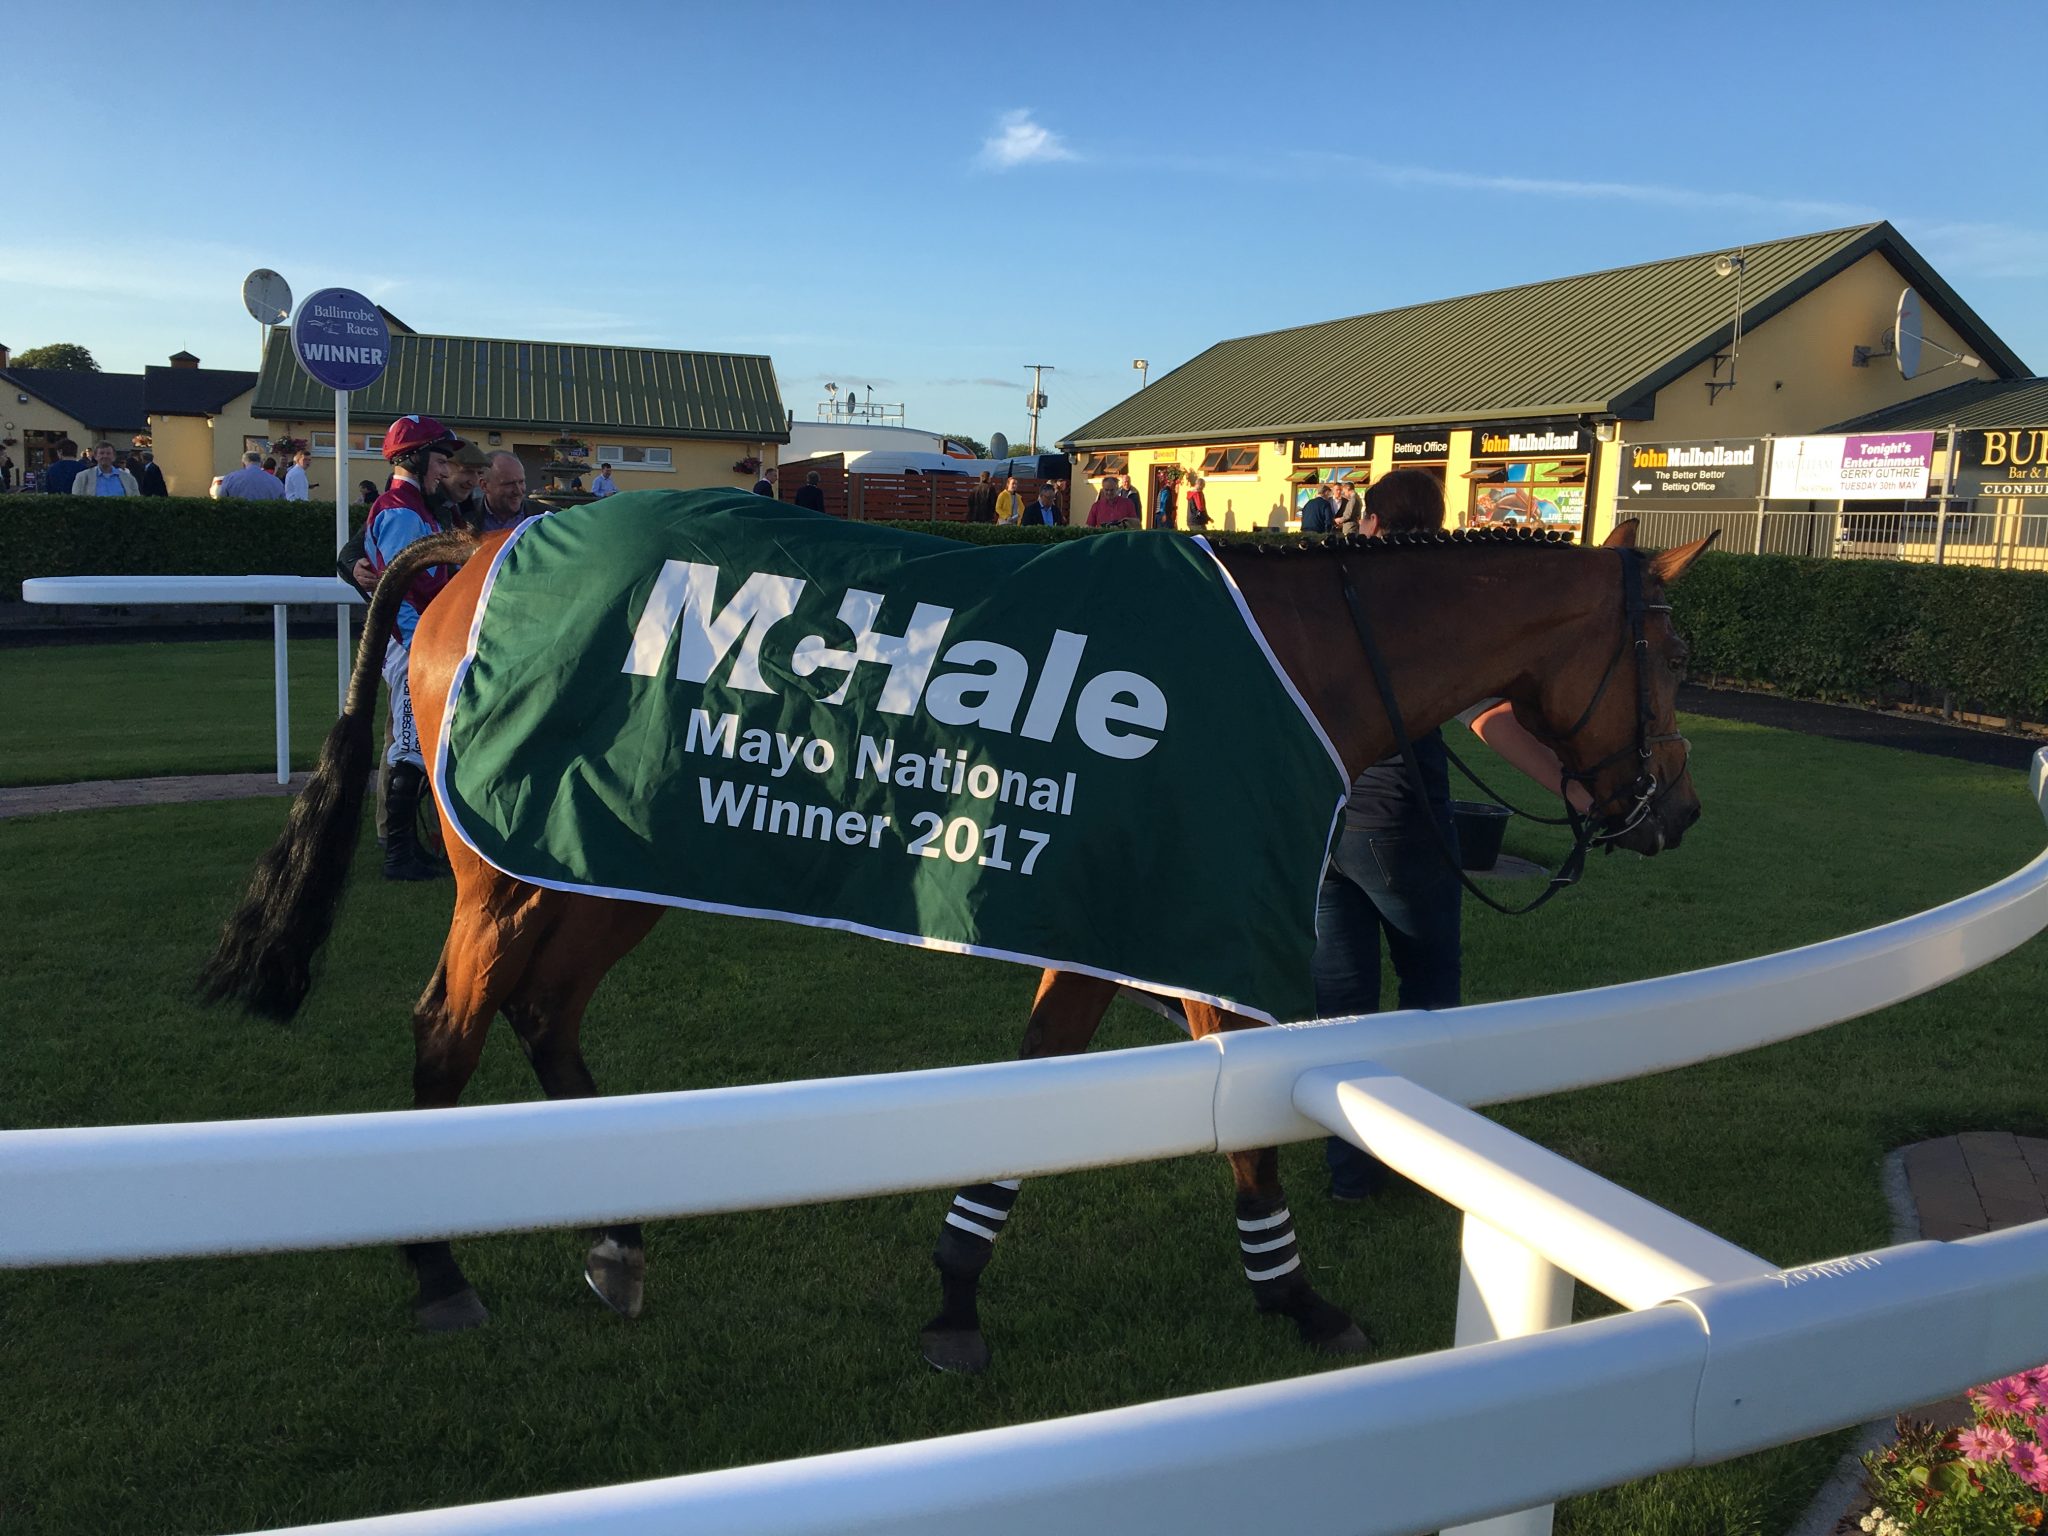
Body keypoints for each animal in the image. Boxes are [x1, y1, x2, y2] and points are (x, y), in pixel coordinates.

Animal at [203, 520, 1712, 1368]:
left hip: (598, 862)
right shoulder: (1192, 917)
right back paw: (440, 1268)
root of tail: (474, 552)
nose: (1677, 809)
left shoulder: (1124, 919)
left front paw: (959, 1288)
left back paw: (617, 1239)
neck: (1280, 663)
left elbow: (1064, 1073)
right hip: (515, 876)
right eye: (1669, 659)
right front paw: (1295, 1300)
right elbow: (1219, 1107)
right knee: (448, 1029)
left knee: (544, 1017)